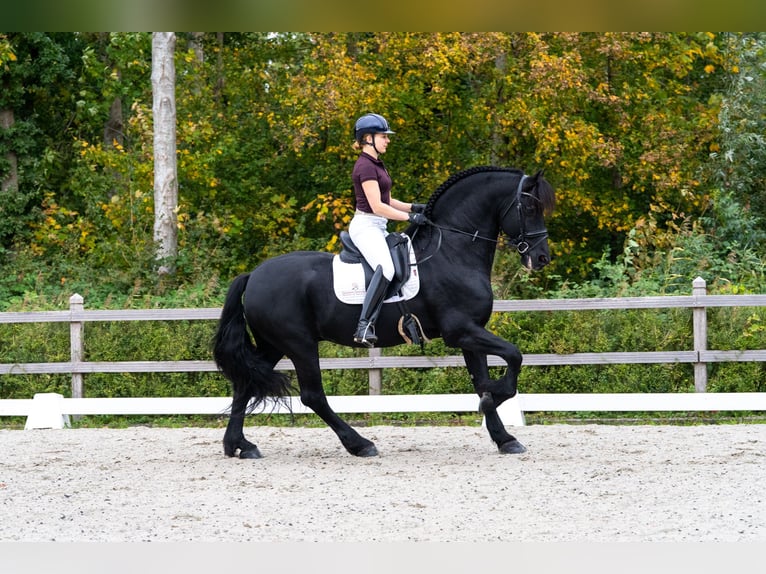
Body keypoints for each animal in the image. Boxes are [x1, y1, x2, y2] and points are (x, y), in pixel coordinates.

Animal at [213, 166, 556, 458]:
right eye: (529, 208)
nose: (541, 258)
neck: (453, 251)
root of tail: (253, 275)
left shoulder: (470, 333)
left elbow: (481, 380)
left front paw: (504, 437)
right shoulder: (461, 331)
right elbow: (514, 356)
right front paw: (496, 398)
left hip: (273, 344)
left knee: (246, 384)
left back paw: (240, 445)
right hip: (299, 344)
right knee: (312, 395)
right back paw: (360, 444)